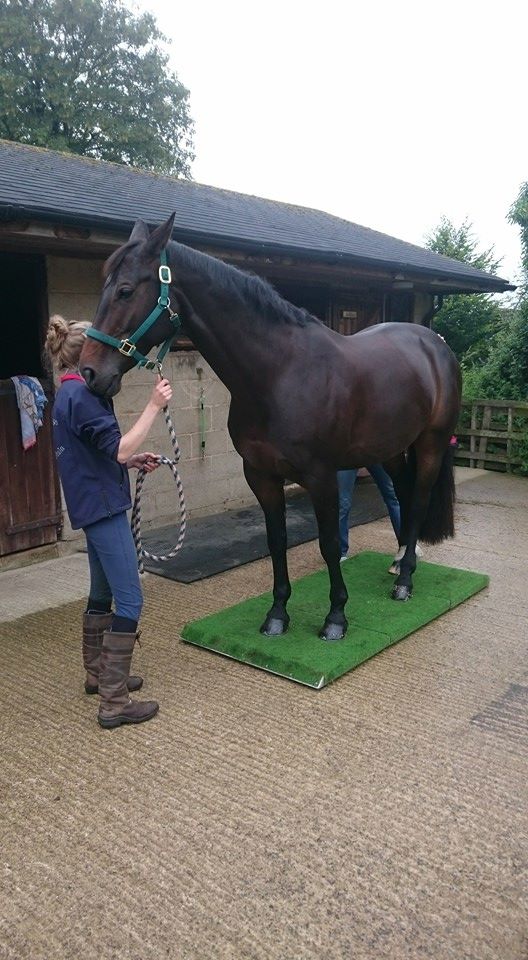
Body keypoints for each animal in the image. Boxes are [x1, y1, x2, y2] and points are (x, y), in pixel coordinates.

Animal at [80, 214, 462, 642]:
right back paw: (397, 564)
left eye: (126, 290)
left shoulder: (321, 476)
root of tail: (435, 342)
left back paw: (405, 581)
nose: (90, 372)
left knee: (418, 501)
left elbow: (329, 544)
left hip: (429, 444)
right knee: (403, 494)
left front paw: (336, 616)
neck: (279, 373)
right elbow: (276, 541)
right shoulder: (260, 474)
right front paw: (277, 613)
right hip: (390, 449)